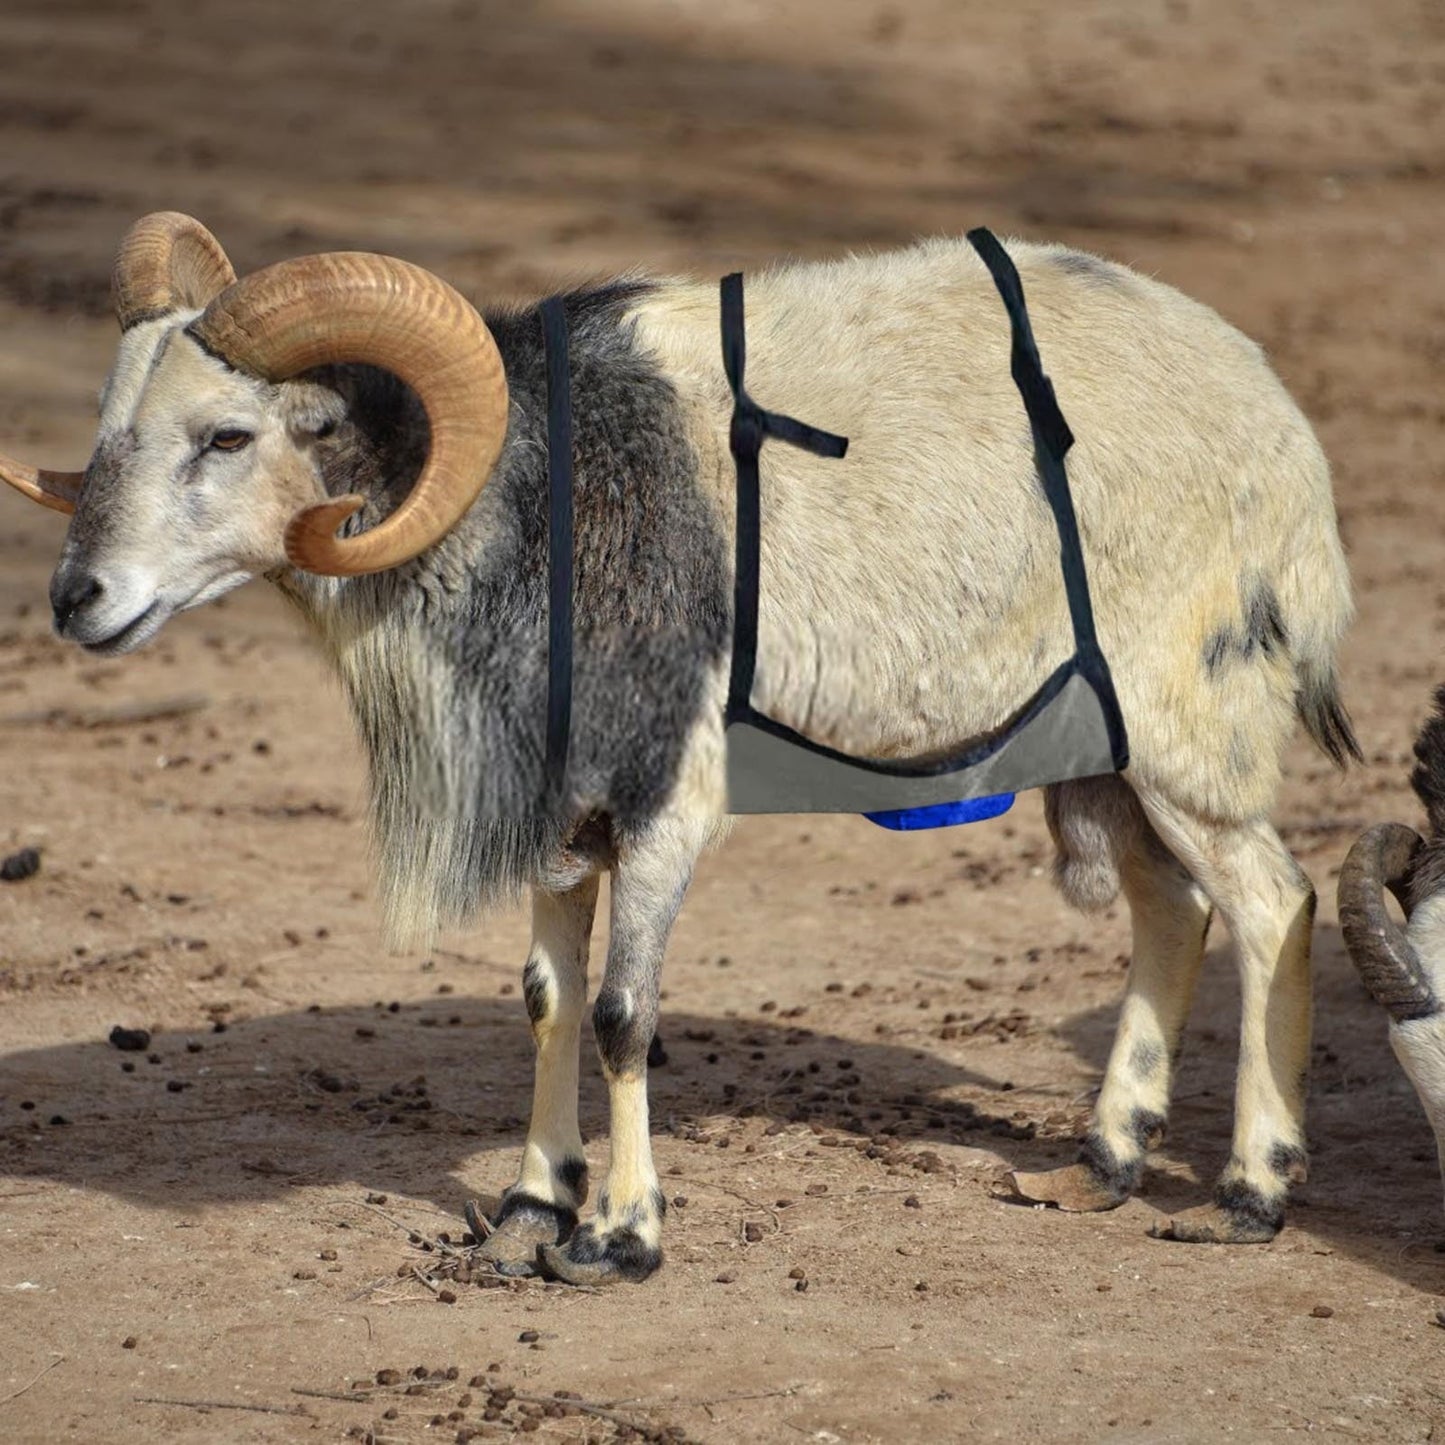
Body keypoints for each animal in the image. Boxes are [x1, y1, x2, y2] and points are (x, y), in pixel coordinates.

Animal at [0, 211, 1360, 1284]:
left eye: (228, 437)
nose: (77, 599)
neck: (535, 504)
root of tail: (1279, 431)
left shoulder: (664, 801)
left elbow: (621, 1013)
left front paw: (617, 1236)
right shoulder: (562, 813)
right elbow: (546, 999)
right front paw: (526, 1209)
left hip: (1186, 727)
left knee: (1271, 904)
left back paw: (1246, 1193)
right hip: (1105, 749)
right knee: (1171, 909)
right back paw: (1104, 1161)